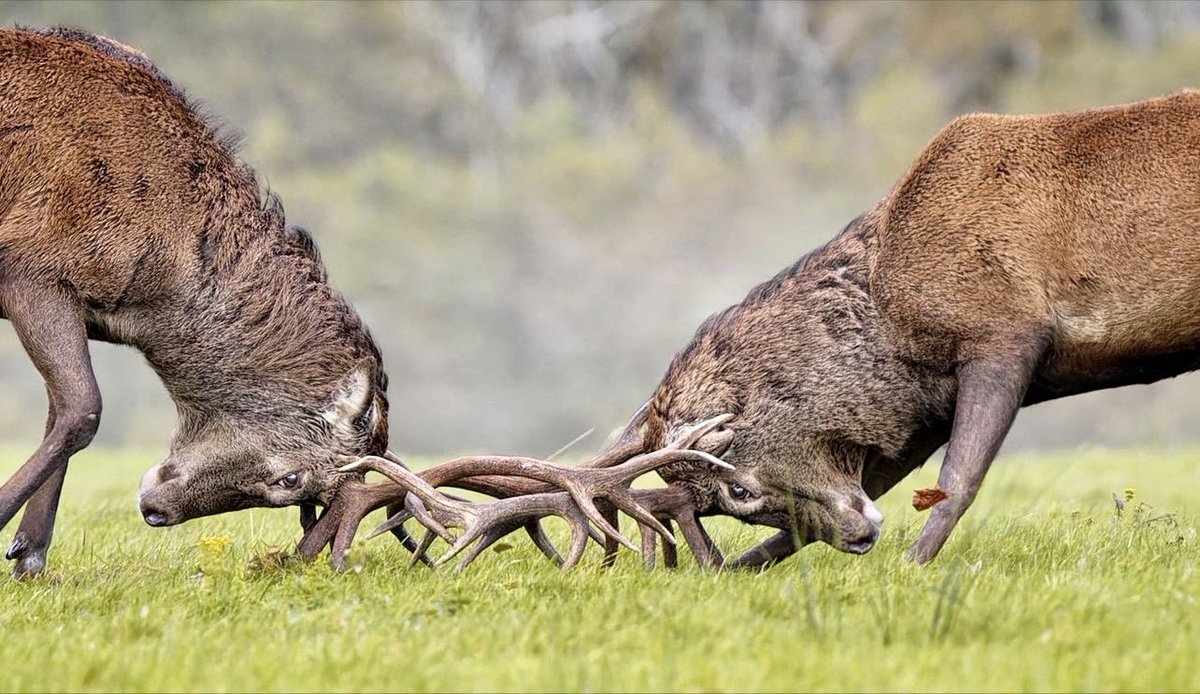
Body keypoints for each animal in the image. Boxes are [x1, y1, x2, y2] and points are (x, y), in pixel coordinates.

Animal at [317, 89, 1200, 572]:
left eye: (737, 487)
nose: (858, 536)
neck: (889, 312)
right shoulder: (912, 421)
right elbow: (827, 524)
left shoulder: (1003, 331)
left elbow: (957, 486)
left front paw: (914, 573)